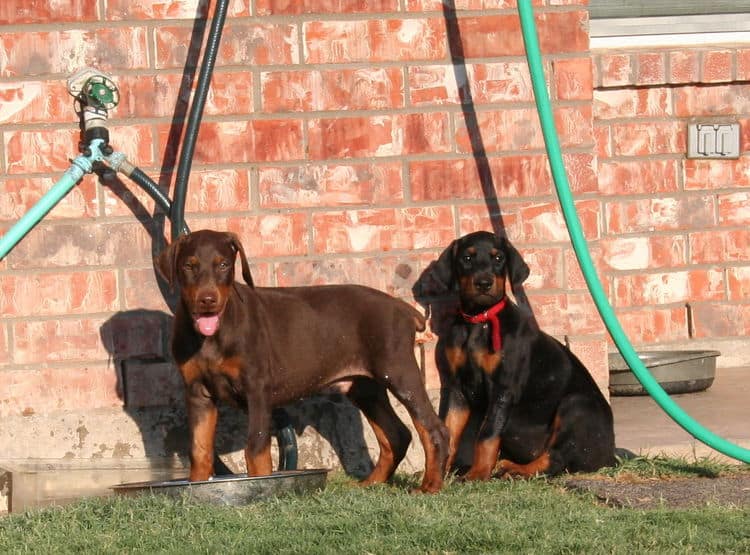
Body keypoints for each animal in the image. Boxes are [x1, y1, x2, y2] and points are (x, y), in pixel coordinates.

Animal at [156, 228, 450, 494]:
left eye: (224, 265)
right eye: (189, 266)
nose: (207, 300)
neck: (213, 334)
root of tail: (404, 308)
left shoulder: (257, 389)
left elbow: (256, 448)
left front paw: (261, 488)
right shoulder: (197, 393)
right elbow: (199, 449)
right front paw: (196, 488)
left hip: (398, 371)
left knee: (434, 429)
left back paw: (430, 486)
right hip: (365, 387)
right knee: (397, 434)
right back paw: (371, 483)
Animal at [418, 231, 616, 482]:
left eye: (498, 258)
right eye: (467, 258)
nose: (484, 283)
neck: (479, 321)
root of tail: (610, 454)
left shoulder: (503, 387)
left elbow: (487, 434)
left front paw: (477, 474)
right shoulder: (455, 389)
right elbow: (449, 432)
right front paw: (437, 473)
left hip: (576, 405)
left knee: (555, 458)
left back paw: (516, 470)